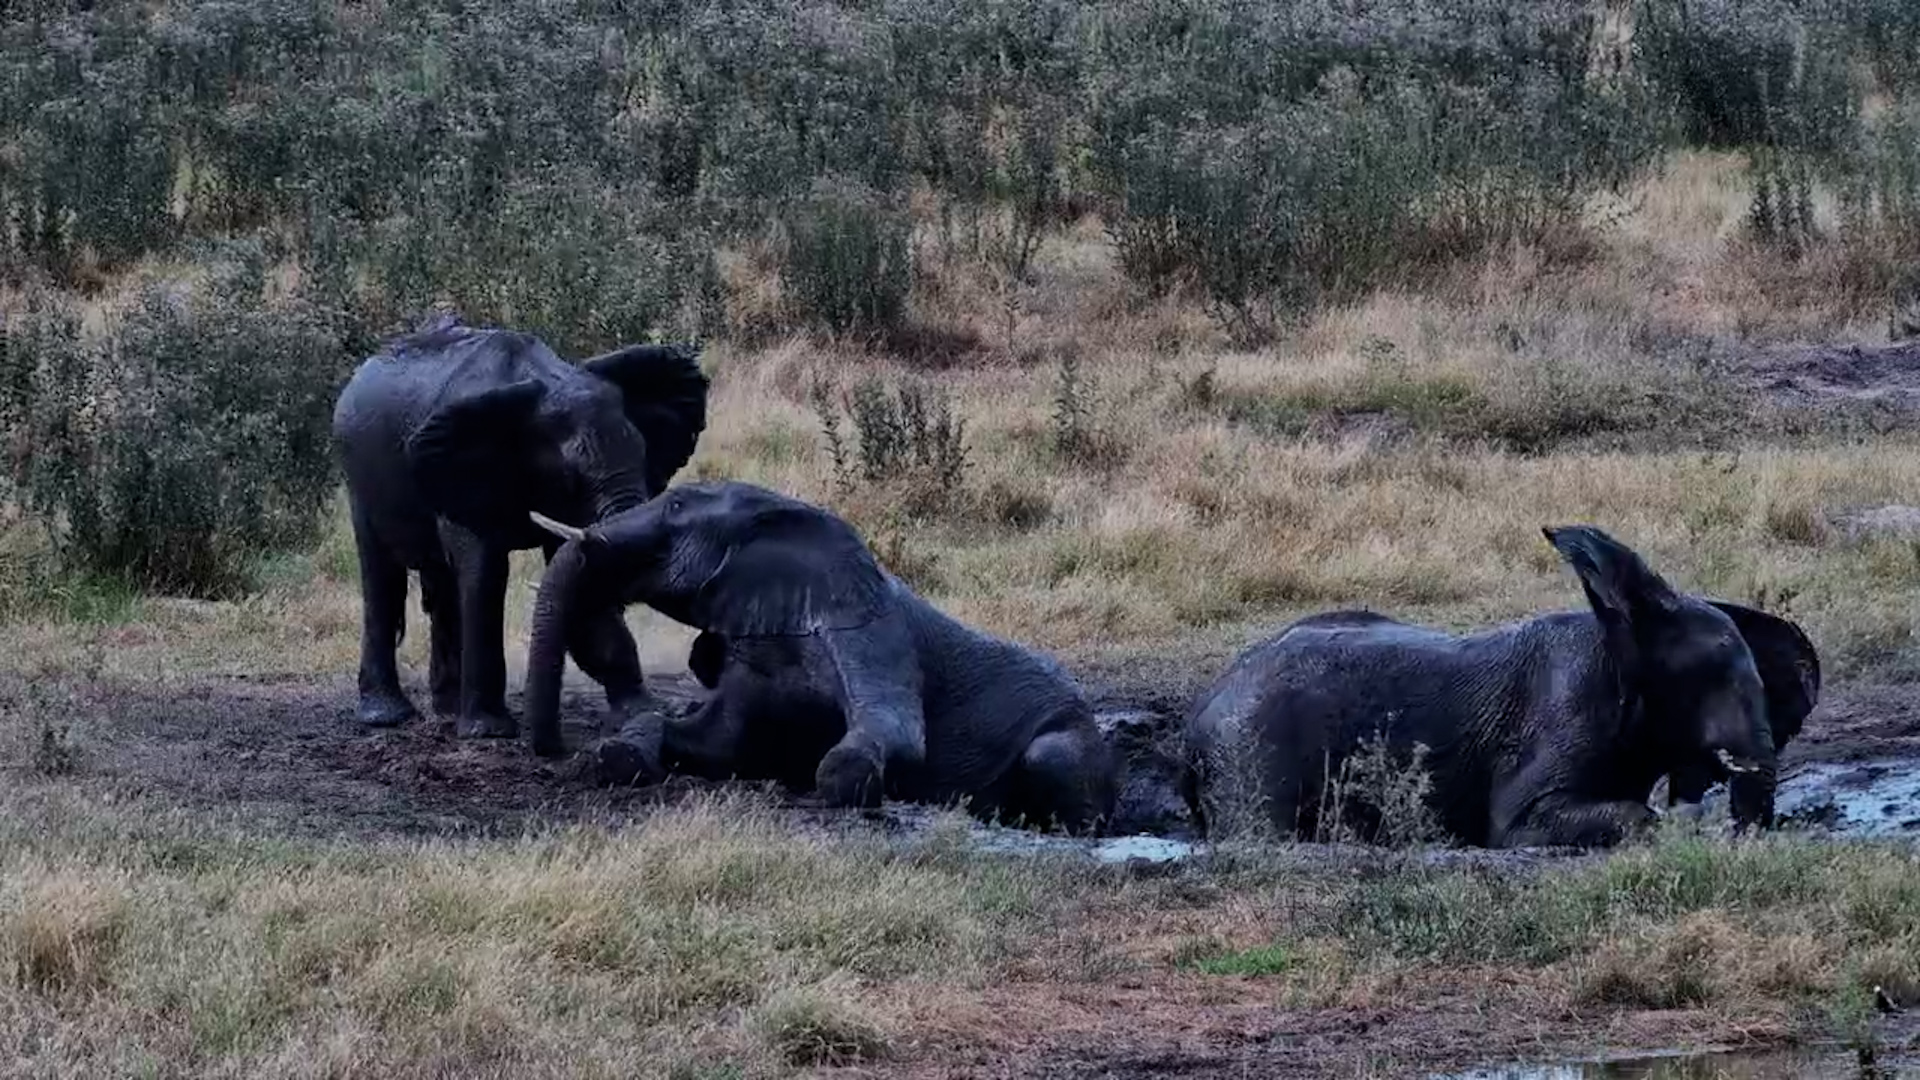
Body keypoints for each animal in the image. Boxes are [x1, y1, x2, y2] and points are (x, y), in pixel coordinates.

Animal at [331, 316, 708, 742]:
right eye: (569, 478)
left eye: (643, 453)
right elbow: (486, 574)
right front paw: (489, 732)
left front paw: (640, 713)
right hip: (358, 478)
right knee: (381, 575)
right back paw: (387, 716)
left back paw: (447, 711)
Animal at [520, 481, 1120, 833]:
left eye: (674, 506)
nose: (549, 749)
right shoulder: (754, 655)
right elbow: (715, 742)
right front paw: (618, 754)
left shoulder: (869, 630)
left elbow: (895, 734)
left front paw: (837, 783)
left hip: (1068, 738)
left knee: (1051, 763)